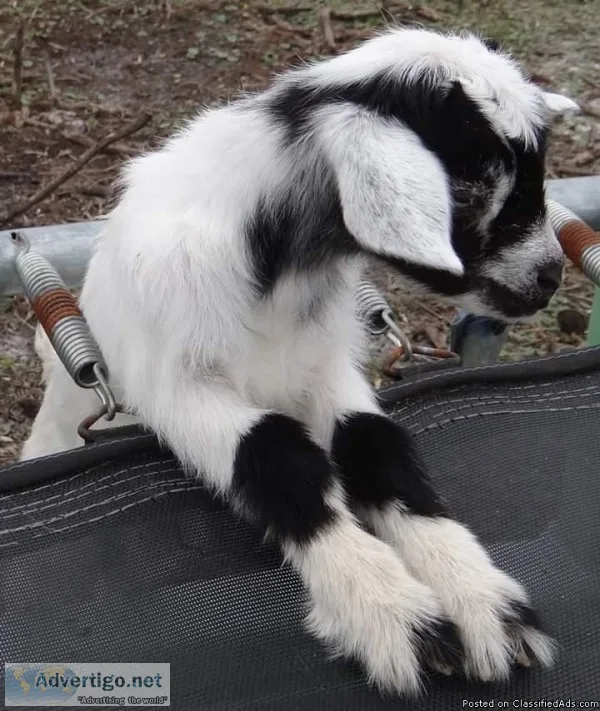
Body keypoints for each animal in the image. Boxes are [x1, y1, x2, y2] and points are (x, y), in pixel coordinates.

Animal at [22, 28, 578, 695]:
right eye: (472, 189)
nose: (550, 278)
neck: (275, 272)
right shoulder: (178, 386)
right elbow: (275, 453)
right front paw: (393, 617)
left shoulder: (323, 368)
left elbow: (375, 444)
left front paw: (483, 601)